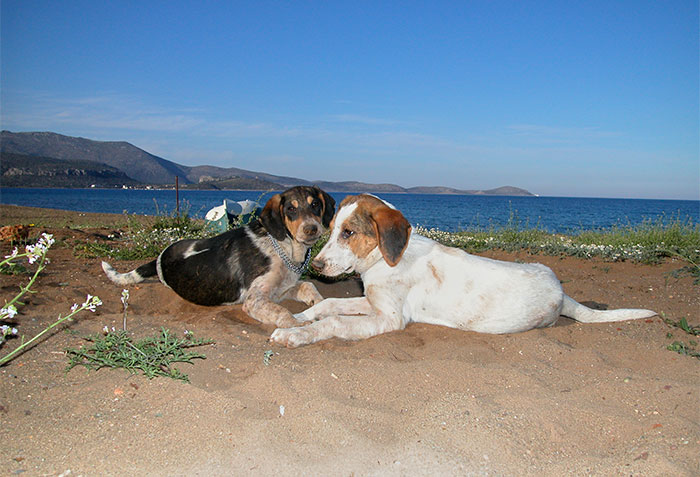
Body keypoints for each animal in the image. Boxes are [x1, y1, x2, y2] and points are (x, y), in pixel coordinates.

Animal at [100, 185, 336, 328]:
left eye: (315, 204)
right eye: (290, 209)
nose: (312, 229)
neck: (284, 247)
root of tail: (160, 257)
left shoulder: (280, 289)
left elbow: (309, 287)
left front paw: (320, 304)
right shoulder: (255, 299)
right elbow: (283, 313)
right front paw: (300, 325)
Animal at [272, 193, 656, 346]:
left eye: (349, 233)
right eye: (332, 226)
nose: (316, 265)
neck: (384, 261)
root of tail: (562, 293)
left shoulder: (390, 318)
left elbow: (335, 321)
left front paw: (296, 334)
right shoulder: (373, 302)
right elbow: (327, 304)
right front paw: (297, 319)